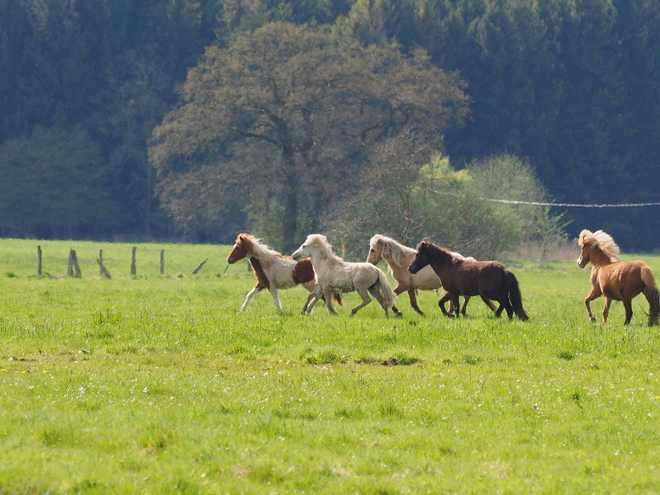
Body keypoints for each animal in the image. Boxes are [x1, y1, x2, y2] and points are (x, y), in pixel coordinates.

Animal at [366, 234, 496, 316]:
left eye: (372, 250)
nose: (369, 263)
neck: (402, 261)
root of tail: (464, 259)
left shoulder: (403, 285)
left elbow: (391, 295)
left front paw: (398, 312)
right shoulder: (410, 287)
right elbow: (413, 303)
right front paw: (421, 313)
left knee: (464, 298)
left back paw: (456, 313)